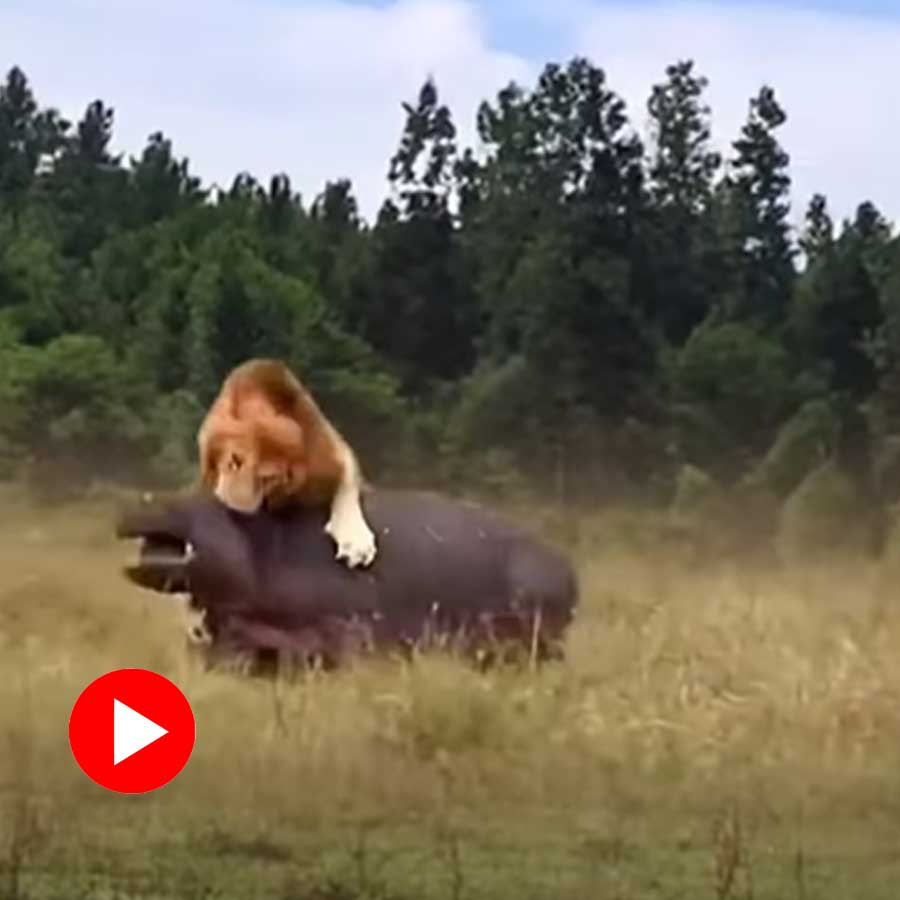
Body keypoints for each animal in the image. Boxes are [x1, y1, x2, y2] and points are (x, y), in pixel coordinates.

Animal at [196, 358, 377, 569]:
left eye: (268, 478)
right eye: (235, 461)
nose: (235, 510)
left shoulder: (335, 453)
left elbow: (347, 488)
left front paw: (356, 541)